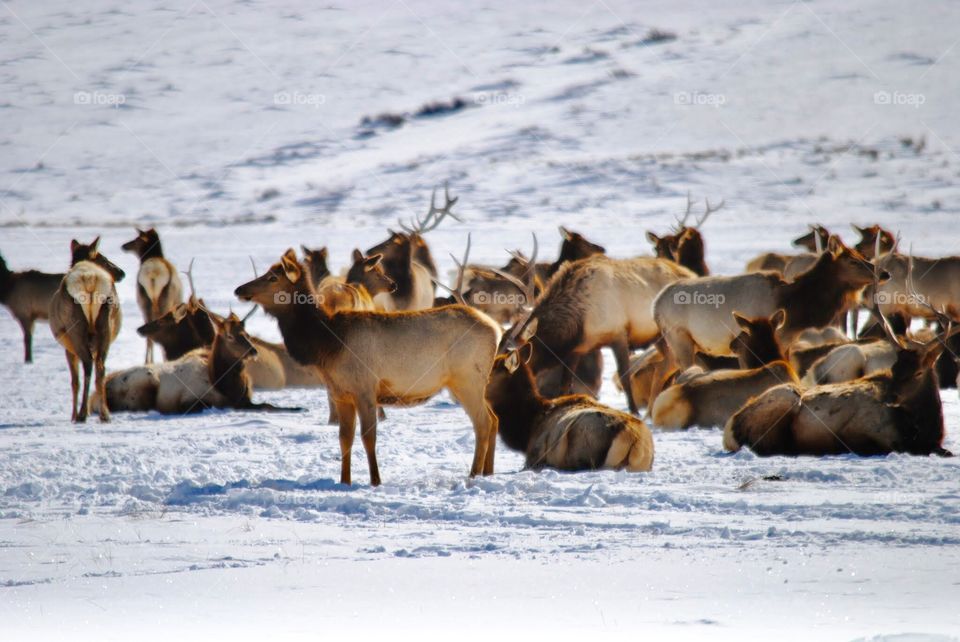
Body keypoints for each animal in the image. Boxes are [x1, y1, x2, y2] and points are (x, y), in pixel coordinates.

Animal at [49, 238, 125, 422]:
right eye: (104, 259)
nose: (121, 272)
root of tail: (89, 279)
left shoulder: (68, 348)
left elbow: (74, 382)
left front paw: (73, 415)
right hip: (105, 326)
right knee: (101, 367)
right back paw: (105, 414)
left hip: (75, 330)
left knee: (88, 365)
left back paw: (82, 414)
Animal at [95, 312, 300, 414]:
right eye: (230, 336)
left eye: (247, 334)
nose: (253, 351)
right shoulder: (190, 400)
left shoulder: (246, 399)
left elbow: (269, 405)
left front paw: (297, 407)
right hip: (148, 380)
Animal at [121, 228, 184, 364]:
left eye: (136, 239)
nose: (124, 246)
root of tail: (153, 275)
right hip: (165, 302)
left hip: (144, 303)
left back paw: (148, 361)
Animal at [235, 249, 502, 486]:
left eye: (273, 277)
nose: (239, 289)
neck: (326, 345)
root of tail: (496, 328)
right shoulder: (341, 394)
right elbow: (344, 438)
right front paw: (344, 481)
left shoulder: (365, 389)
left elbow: (368, 437)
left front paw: (375, 480)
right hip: (470, 382)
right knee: (494, 418)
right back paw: (488, 472)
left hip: (467, 379)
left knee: (482, 422)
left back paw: (473, 474)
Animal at [650, 237, 885, 409]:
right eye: (853, 260)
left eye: (862, 255)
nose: (884, 273)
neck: (795, 306)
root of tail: (656, 304)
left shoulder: (787, 341)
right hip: (680, 338)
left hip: (675, 344)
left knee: (660, 372)